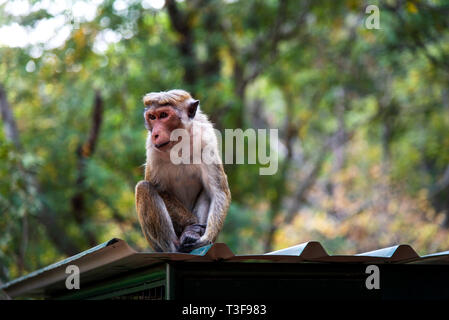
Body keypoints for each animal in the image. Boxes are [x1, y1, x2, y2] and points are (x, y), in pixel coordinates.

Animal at [135, 89, 229, 252]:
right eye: (152, 117)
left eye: (164, 115)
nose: (155, 134)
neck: (179, 143)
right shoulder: (152, 150)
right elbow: (159, 189)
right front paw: (191, 227)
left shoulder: (207, 140)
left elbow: (218, 191)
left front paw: (204, 238)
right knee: (144, 188)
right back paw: (176, 246)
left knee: (207, 191)